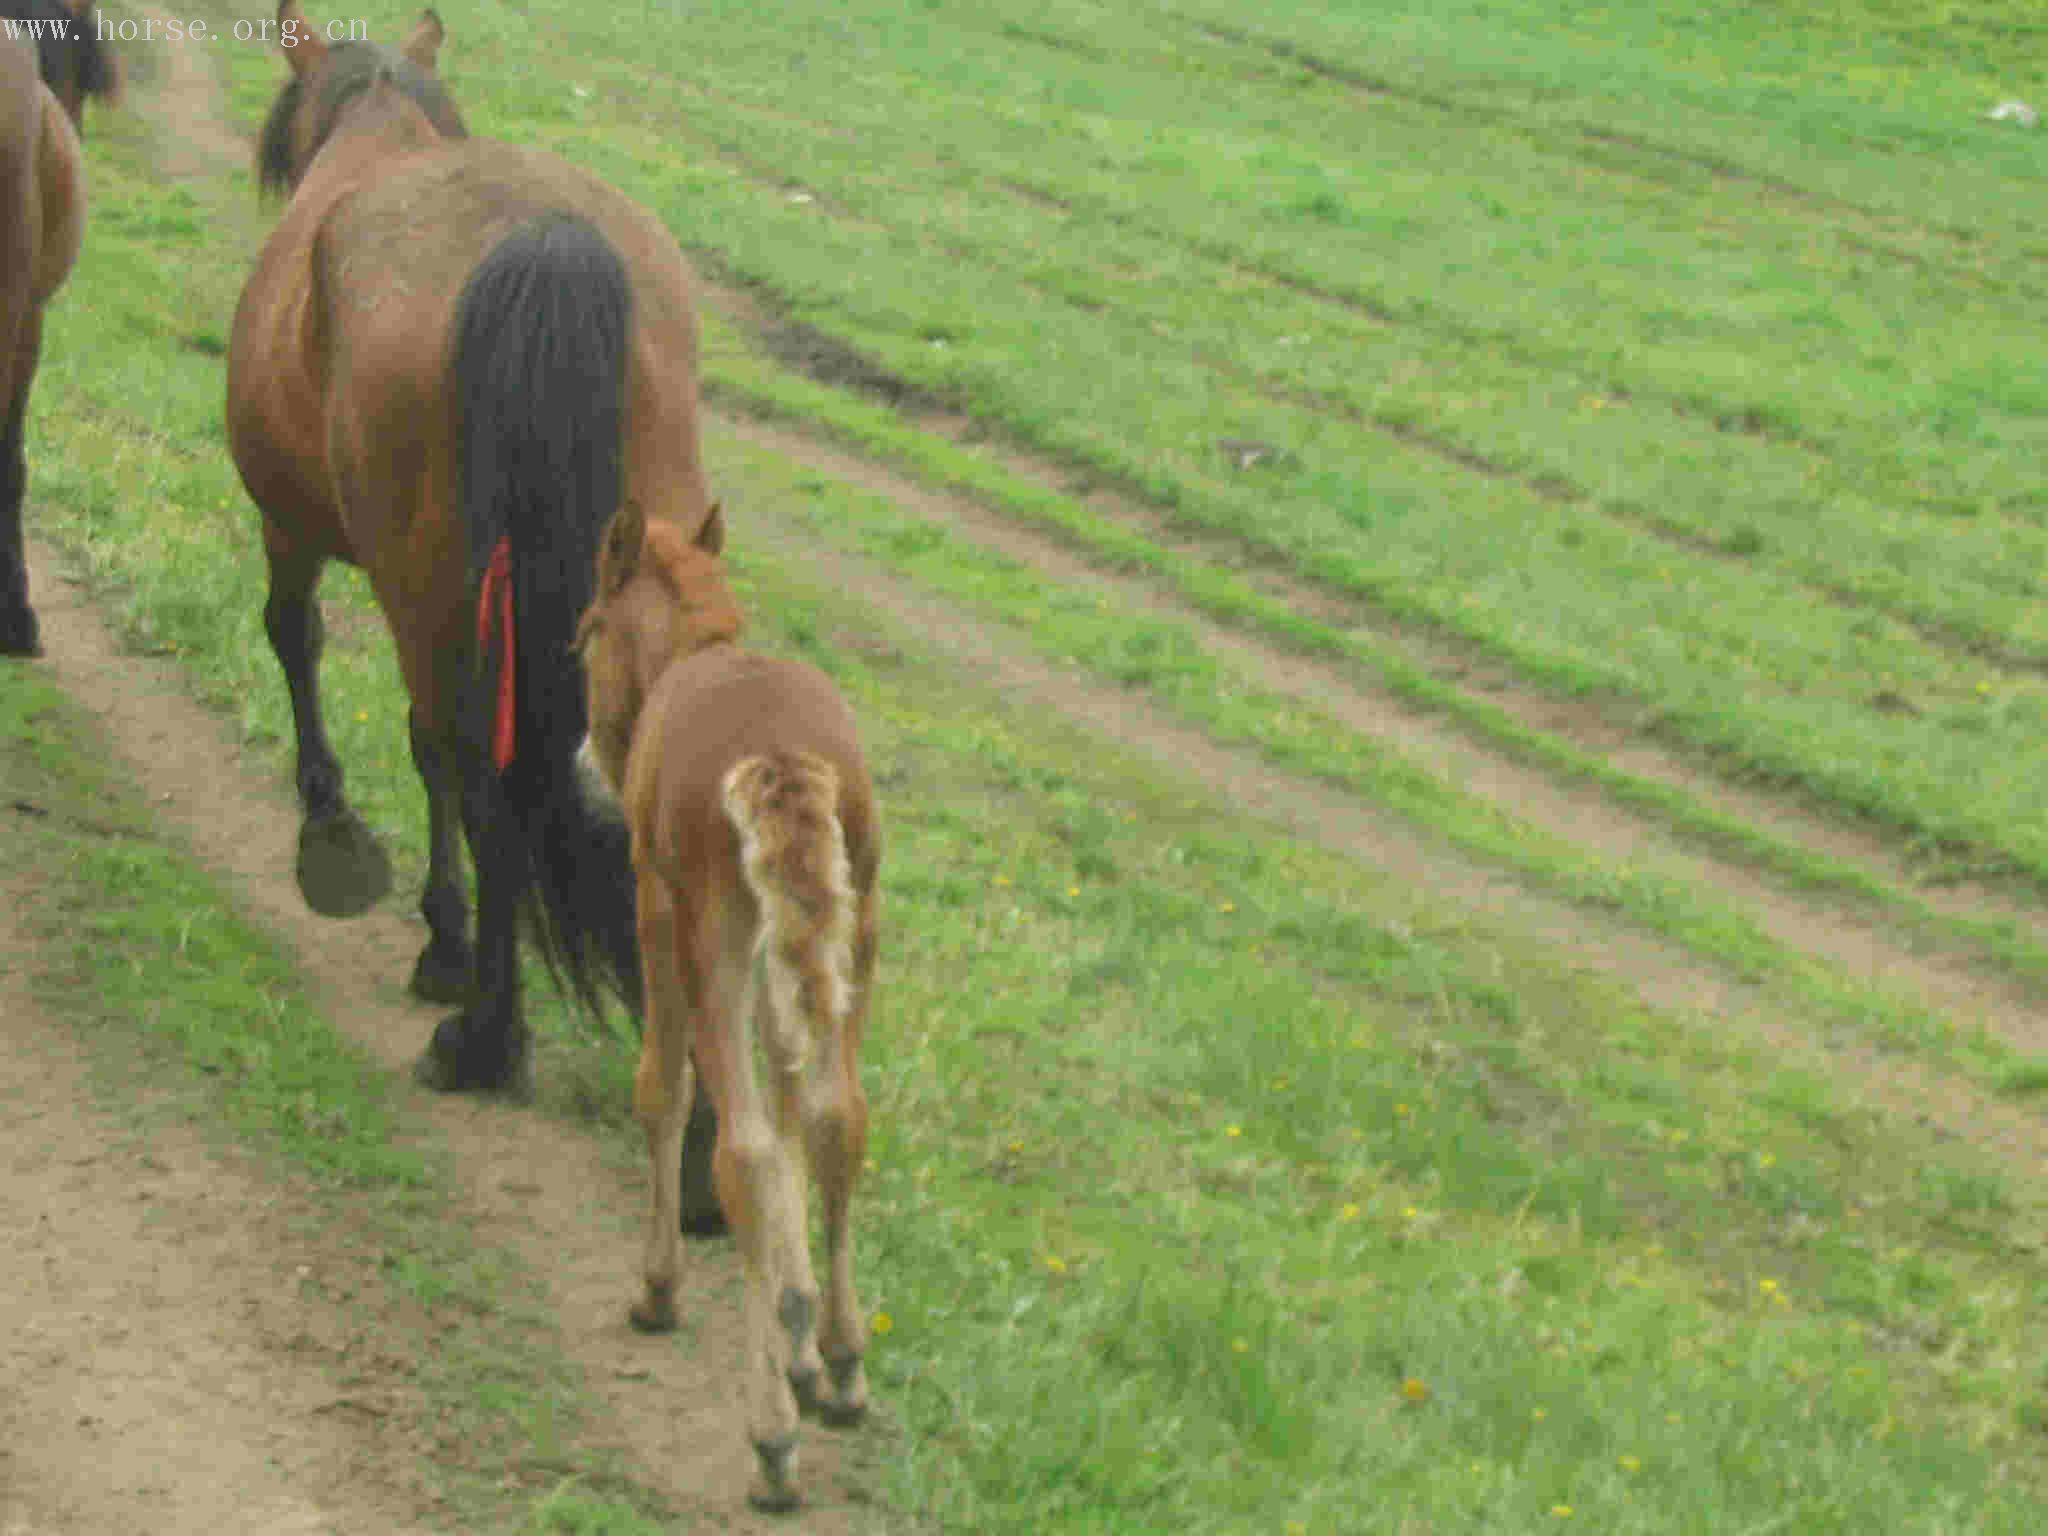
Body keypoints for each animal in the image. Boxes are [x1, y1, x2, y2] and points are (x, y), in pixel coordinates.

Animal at [229, 6, 724, 1138]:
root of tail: (541, 241)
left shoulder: (289, 524)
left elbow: (302, 644)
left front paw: (358, 854)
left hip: (433, 598)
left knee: (480, 775)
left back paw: (484, 1036)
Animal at [573, 507, 876, 1515]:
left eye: (585, 631)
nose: (586, 759)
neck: (697, 653)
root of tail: (777, 763)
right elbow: (791, 1110)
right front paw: (799, 1336)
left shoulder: (657, 911)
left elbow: (665, 1091)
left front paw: (657, 1287)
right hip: (852, 933)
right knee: (837, 1118)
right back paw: (843, 1364)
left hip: (715, 943)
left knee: (739, 1148)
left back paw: (771, 1443)